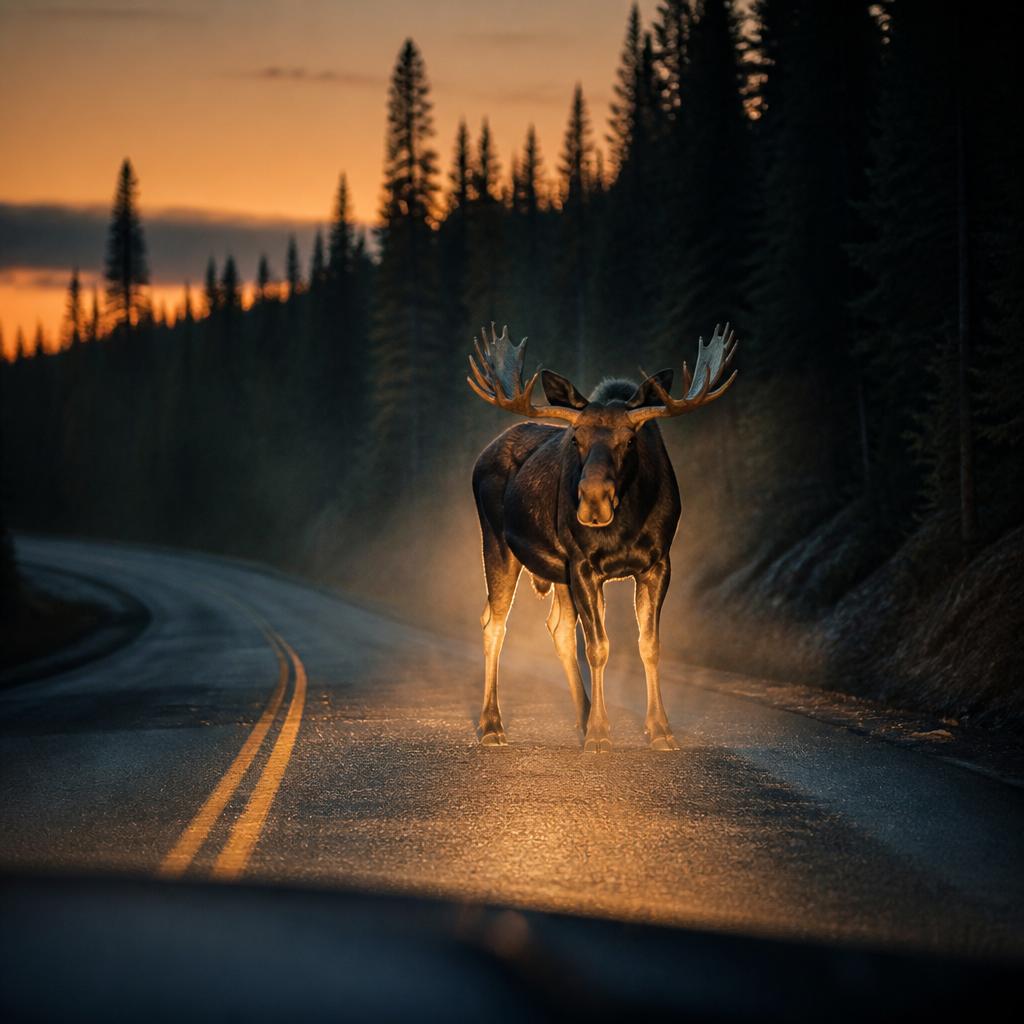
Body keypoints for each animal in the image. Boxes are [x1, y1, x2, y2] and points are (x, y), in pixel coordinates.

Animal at [467, 322, 737, 753]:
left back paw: (581, 716)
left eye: (630, 439)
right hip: (497, 543)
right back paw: (492, 725)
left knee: (558, 628)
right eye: (575, 437)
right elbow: (598, 647)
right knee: (494, 622)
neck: (625, 526)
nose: (593, 501)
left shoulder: (658, 563)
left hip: (558, 570)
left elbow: (649, 645)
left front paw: (659, 730)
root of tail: (482, 456)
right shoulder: (583, 563)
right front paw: (599, 734)